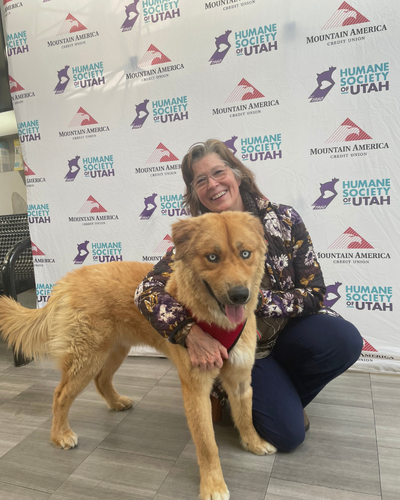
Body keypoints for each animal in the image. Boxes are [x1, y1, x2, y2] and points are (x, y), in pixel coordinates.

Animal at [0, 212, 276, 500]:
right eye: (212, 257)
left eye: (245, 253)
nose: (240, 295)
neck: (213, 320)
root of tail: (67, 281)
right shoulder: (196, 388)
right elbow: (207, 444)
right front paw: (213, 484)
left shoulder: (240, 380)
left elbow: (245, 416)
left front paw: (253, 442)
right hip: (87, 357)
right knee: (60, 395)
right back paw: (61, 435)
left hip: (115, 351)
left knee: (101, 381)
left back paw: (116, 402)